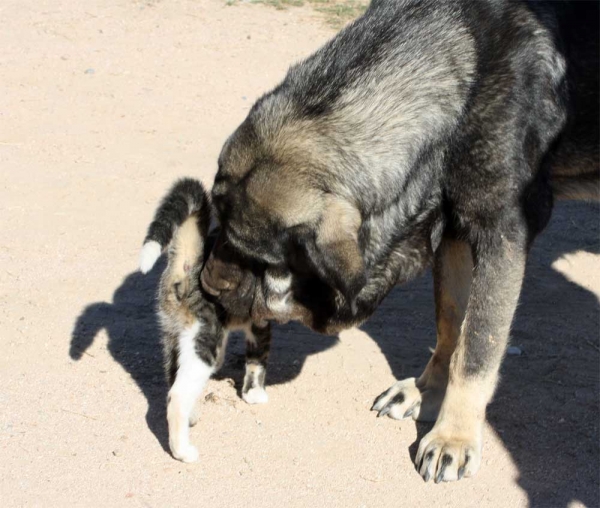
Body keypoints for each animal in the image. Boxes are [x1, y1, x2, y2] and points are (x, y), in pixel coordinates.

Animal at [200, 0, 596, 482]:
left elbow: (477, 346)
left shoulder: (502, 233)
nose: (204, 283)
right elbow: (450, 322)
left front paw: (454, 436)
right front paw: (427, 392)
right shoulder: (451, 226)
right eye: (217, 222)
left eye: (260, 260)